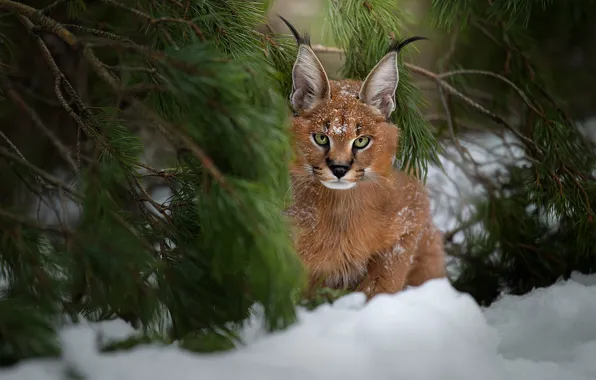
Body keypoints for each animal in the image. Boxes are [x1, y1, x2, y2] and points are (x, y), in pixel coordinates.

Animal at [280, 15, 448, 300]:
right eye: (321, 138)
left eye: (361, 141)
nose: (339, 168)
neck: (340, 210)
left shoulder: (413, 213)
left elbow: (385, 276)